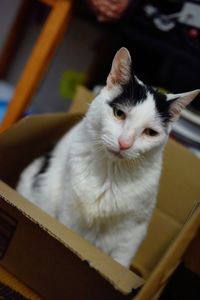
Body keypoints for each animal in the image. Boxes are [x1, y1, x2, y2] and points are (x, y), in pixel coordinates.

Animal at [16, 48, 199, 268]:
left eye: (150, 132)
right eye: (119, 113)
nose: (125, 143)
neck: (110, 175)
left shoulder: (133, 232)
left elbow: (120, 261)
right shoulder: (69, 213)